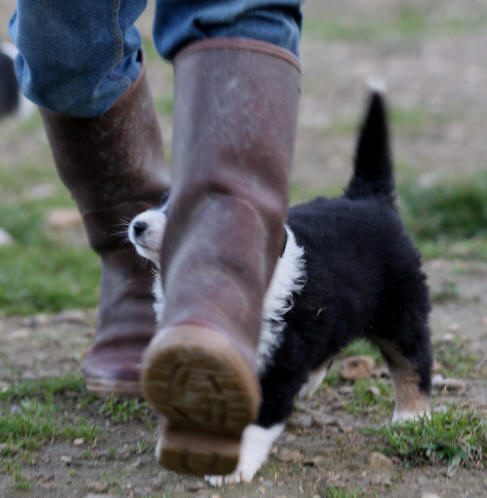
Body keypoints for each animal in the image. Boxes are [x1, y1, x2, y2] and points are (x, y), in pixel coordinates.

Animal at [127, 87, 432, 484]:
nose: (137, 225)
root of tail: (367, 197)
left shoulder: (278, 363)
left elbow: (256, 422)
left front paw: (232, 466)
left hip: (400, 309)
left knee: (412, 360)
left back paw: (412, 416)